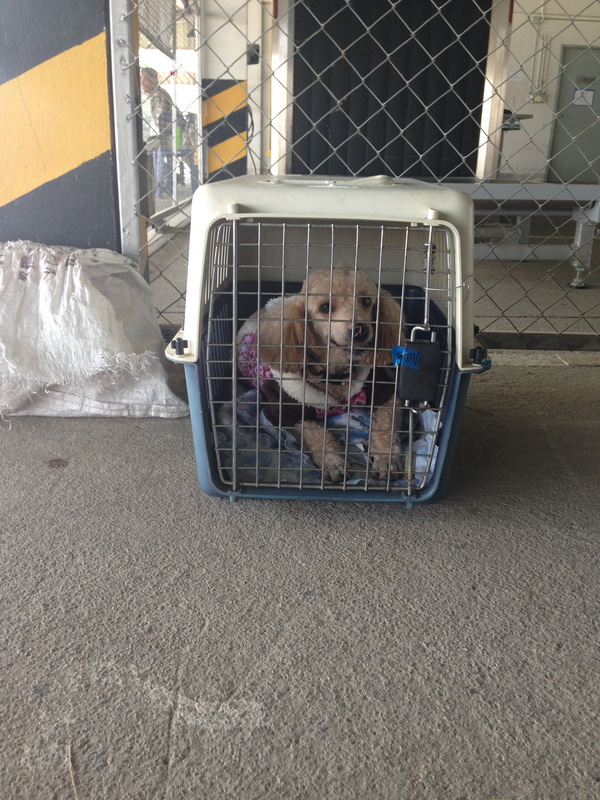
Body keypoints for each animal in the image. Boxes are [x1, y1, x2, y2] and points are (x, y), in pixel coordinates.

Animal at [237, 267, 406, 483]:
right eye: (325, 307)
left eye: (366, 301)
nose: (360, 329)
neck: (335, 376)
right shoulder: (289, 410)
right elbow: (317, 435)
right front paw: (333, 462)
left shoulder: (385, 394)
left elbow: (386, 429)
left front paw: (386, 461)